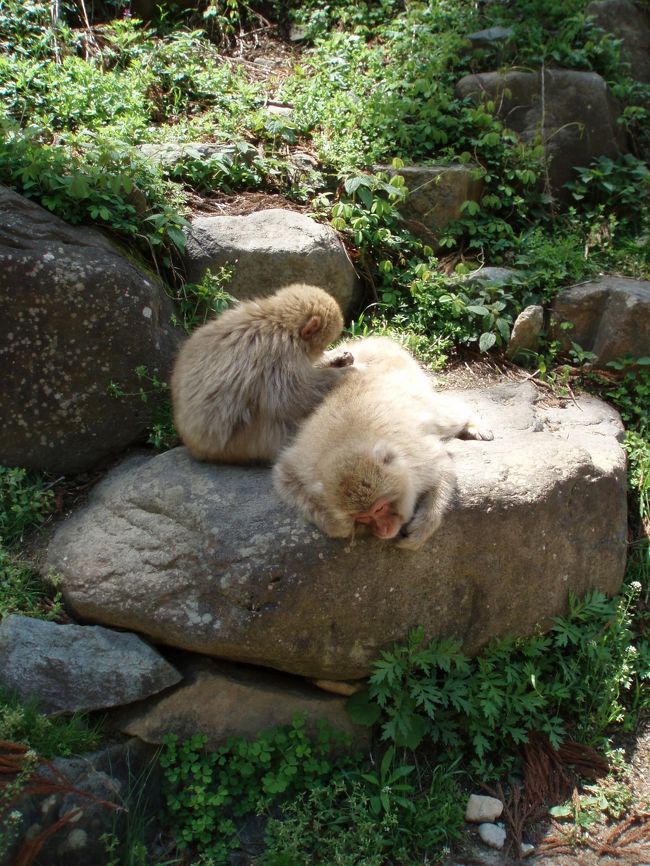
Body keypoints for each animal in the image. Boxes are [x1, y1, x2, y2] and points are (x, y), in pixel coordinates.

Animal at [170, 284, 346, 462]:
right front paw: (341, 373)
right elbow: (290, 397)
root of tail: (192, 446)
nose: (323, 351)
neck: (279, 323)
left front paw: (335, 357)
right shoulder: (278, 353)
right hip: (241, 445)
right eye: (323, 345)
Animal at [274, 336, 492, 548]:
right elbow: (285, 477)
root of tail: (375, 341)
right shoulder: (303, 467)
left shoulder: (419, 462)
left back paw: (472, 422)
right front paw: (338, 525)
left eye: (379, 509)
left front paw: (424, 524)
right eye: (362, 517)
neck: (350, 442)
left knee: (445, 417)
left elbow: (442, 467)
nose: (383, 530)